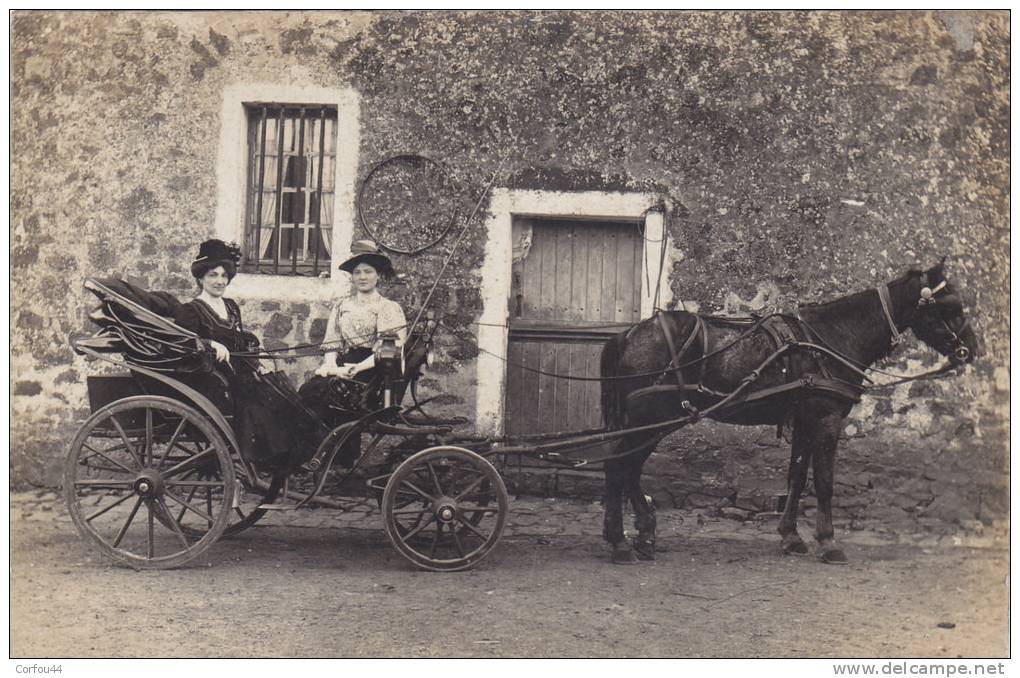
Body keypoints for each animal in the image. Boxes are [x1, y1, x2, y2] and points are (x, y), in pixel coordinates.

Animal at [599, 256, 975, 562]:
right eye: (951, 306)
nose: (971, 349)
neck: (829, 338)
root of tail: (628, 335)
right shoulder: (826, 419)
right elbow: (824, 482)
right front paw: (828, 542)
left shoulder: (805, 421)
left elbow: (796, 477)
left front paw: (791, 537)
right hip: (651, 419)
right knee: (618, 465)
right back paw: (620, 543)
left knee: (628, 468)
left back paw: (642, 535)